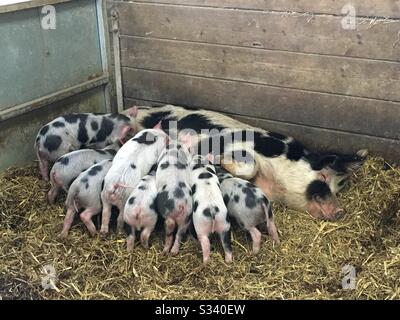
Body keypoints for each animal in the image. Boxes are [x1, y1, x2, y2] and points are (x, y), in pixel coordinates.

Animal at [126, 105, 368, 220]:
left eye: (338, 187)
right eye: (323, 177)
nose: (340, 211)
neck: (277, 181)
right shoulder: (240, 148)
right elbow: (249, 165)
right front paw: (218, 160)